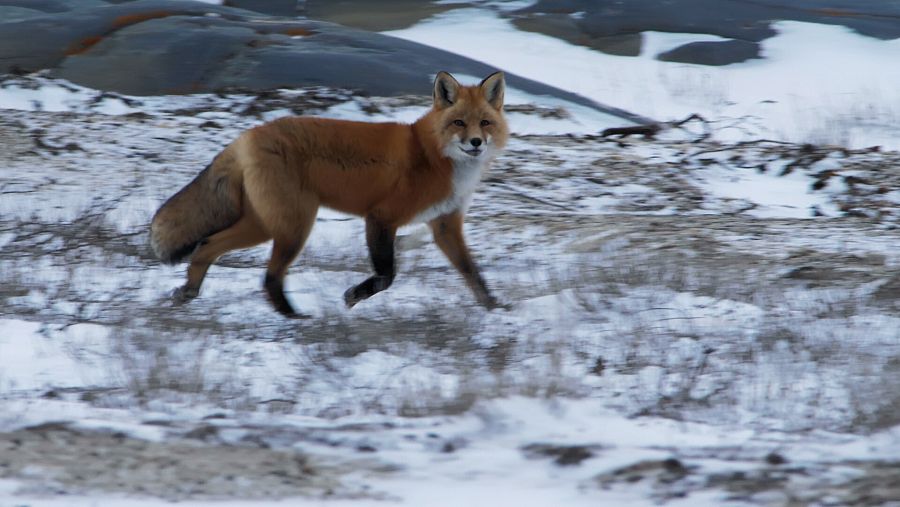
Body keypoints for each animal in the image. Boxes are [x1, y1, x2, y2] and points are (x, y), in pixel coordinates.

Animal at [151, 71, 510, 318]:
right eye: (459, 123)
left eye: (485, 123)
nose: (476, 143)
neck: (432, 155)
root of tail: (248, 135)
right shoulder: (381, 217)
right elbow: (387, 275)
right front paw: (353, 296)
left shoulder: (445, 224)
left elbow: (473, 273)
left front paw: (494, 308)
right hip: (294, 226)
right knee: (269, 277)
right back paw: (293, 318)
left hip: (264, 225)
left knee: (207, 247)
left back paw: (188, 292)